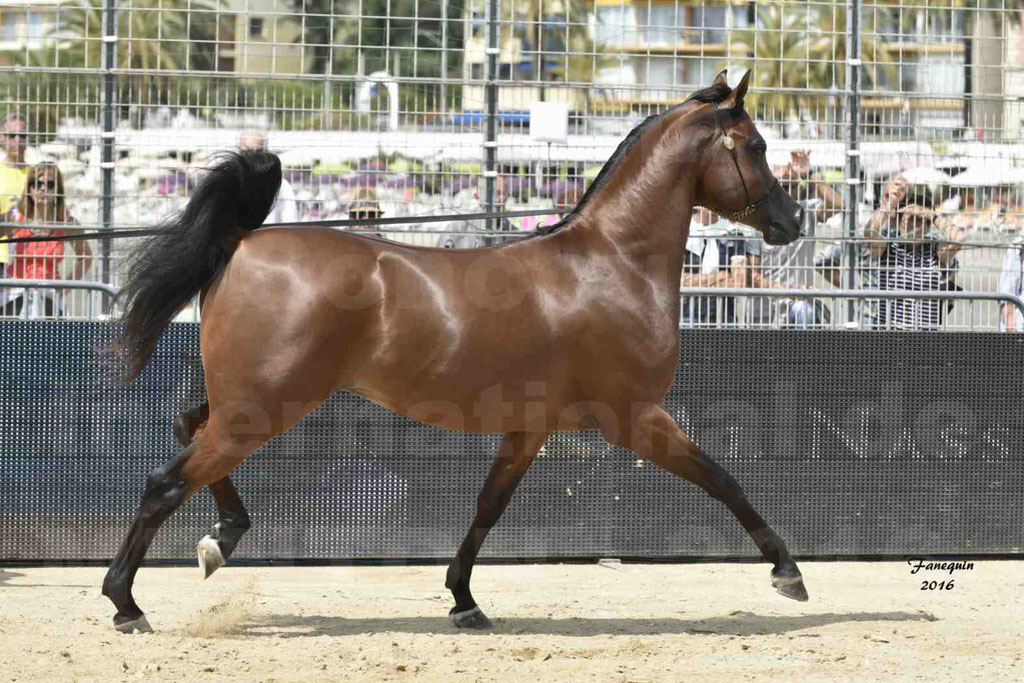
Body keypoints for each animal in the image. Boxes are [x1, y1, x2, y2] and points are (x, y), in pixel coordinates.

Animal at [103, 72, 806, 634]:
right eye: (757, 147)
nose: (794, 220)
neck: (611, 263)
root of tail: (239, 242)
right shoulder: (633, 417)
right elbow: (722, 478)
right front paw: (788, 573)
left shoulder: (529, 427)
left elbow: (488, 507)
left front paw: (464, 601)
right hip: (264, 406)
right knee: (166, 483)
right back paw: (126, 603)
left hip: (245, 401)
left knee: (186, 430)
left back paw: (220, 541)